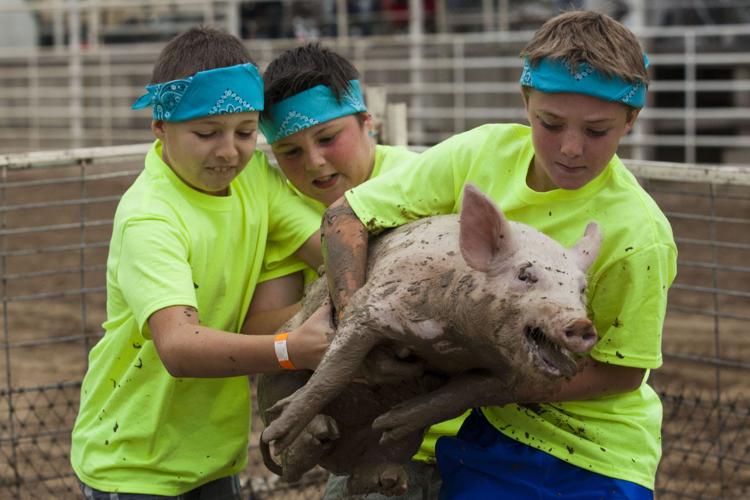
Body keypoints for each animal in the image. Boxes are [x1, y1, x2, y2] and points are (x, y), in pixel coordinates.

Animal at [259, 183, 601, 495]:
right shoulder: (373, 303)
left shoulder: (503, 375)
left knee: (361, 477)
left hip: (388, 456)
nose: (582, 324)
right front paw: (279, 430)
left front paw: (389, 422)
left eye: (581, 288)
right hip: (275, 364)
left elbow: (459, 395)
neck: (460, 337)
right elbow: (335, 371)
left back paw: (387, 478)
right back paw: (301, 432)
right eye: (525, 275)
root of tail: (336, 461)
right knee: (287, 450)